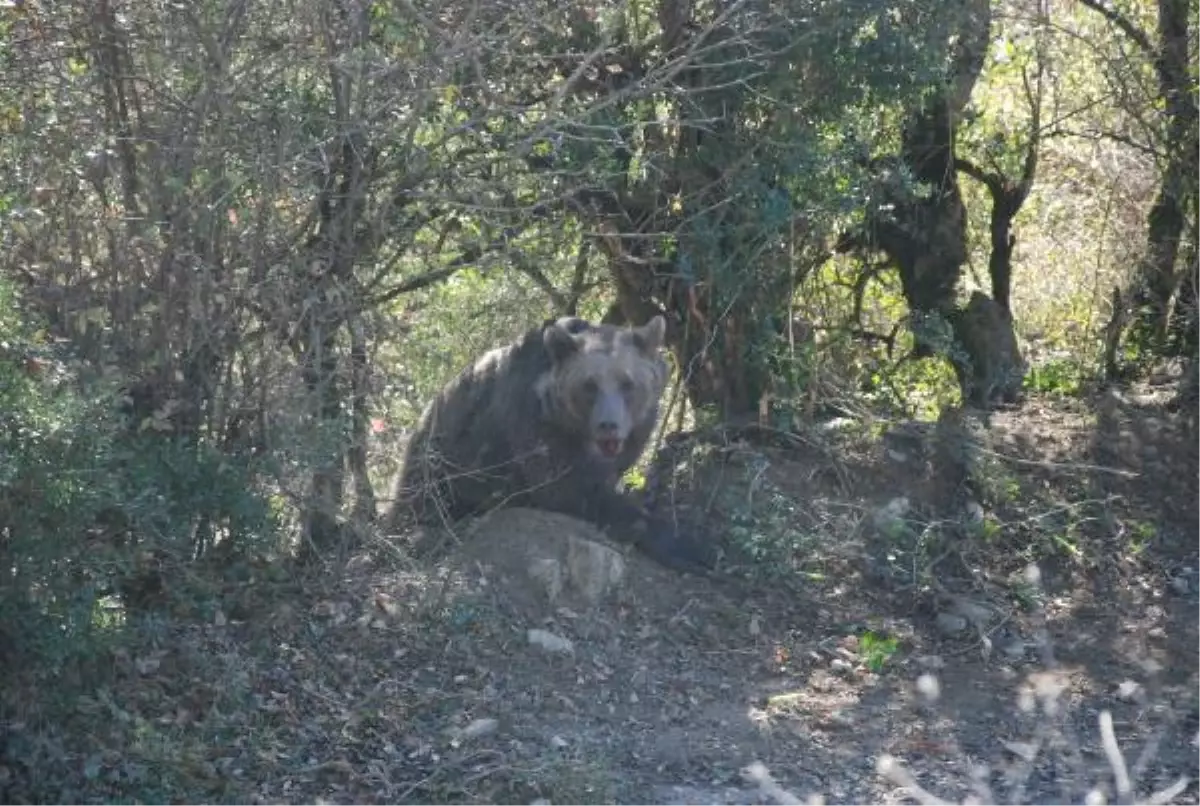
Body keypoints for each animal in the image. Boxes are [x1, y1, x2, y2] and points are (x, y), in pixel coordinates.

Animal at [388, 314, 710, 573]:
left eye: (628, 383)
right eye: (589, 385)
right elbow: (569, 491)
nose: (608, 425)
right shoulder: (532, 425)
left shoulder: (634, 435)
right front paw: (689, 547)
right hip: (439, 460)